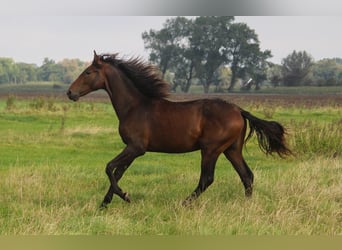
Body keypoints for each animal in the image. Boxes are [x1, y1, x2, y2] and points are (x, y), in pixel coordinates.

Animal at [67, 50, 292, 207]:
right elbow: (117, 172)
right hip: (232, 149)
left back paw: (184, 203)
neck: (134, 106)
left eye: (88, 72)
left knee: (207, 179)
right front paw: (105, 203)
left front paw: (125, 196)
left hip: (211, 149)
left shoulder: (136, 148)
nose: (70, 93)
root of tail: (239, 110)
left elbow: (109, 167)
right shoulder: (132, 150)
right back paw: (247, 205)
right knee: (247, 175)